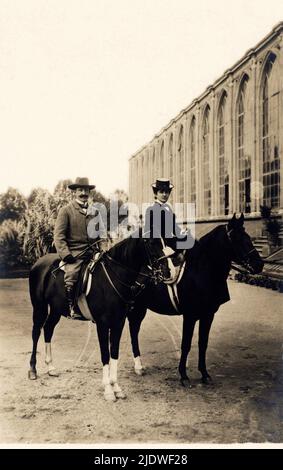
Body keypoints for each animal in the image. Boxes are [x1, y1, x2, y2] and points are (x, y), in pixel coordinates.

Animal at [28, 233, 153, 402]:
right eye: (150, 242)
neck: (113, 278)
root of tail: (39, 262)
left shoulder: (118, 323)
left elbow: (114, 352)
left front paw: (116, 388)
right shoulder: (102, 324)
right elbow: (105, 354)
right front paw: (108, 390)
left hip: (56, 309)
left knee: (48, 329)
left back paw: (51, 367)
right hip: (39, 306)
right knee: (36, 332)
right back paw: (33, 370)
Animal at [127, 215, 266, 388]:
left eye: (248, 237)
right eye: (237, 239)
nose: (259, 264)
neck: (202, 270)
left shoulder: (208, 314)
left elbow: (202, 343)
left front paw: (204, 374)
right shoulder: (190, 316)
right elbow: (186, 344)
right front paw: (183, 375)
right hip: (136, 308)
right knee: (133, 331)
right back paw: (138, 366)